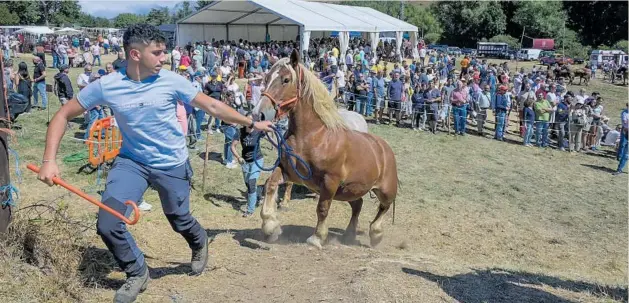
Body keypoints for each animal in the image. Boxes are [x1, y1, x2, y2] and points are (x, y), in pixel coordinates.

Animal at [251, 50, 394, 249]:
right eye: (266, 78)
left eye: (286, 79)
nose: (259, 113)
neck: (313, 137)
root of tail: (384, 148)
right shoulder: (288, 171)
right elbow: (270, 185)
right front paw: (270, 227)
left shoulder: (330, 182)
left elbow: (322, 208)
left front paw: (317, 238)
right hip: (349, 190)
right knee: (358, 205)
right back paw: (349, 234)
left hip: (385, 190)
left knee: (383, 207)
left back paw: (376, 234)